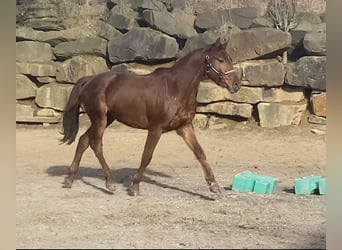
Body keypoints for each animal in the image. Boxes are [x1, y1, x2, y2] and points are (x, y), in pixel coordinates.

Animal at [60, 38, 240, 195]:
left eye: (230, 58)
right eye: (220, 59)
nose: (236, 85)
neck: (175, 89)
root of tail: (89, 80)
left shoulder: (184, 127)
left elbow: (200, 153)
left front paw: (214, 185)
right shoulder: (155, 128)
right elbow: (147, 156)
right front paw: (134, 186)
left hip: (107, 119)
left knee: (83, 140)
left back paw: (69, 179)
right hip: (100, 120)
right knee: (96, 145)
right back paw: (109, 182)